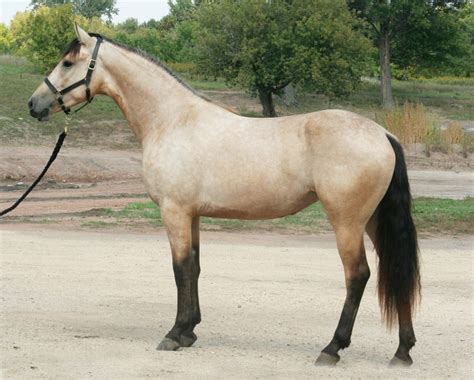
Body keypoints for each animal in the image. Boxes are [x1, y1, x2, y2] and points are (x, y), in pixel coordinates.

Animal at [26, 25, 418, 366]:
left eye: (67, 63)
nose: (34, 104)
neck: (172, 120)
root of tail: (383, 134)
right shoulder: (193, 214)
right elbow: (195, 267)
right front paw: (189, 331)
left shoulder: (174, 211)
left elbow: (180, 268)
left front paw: (174, 334)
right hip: (373, 221)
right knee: (395, 270)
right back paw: (402, 351)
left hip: (347, 222)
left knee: (358, 276)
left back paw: (332, 348)